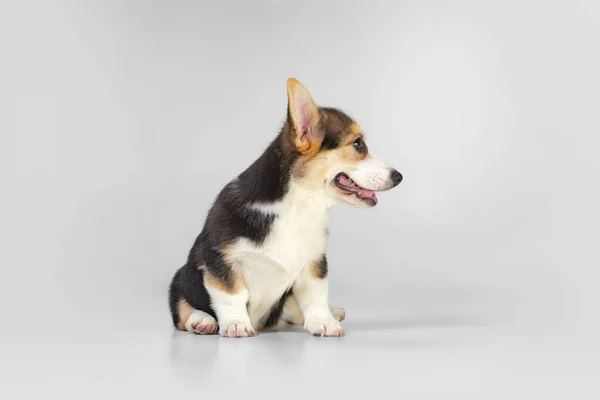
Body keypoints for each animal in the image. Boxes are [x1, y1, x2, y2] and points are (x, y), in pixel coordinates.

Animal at [168, 78, 404, 338]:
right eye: (358, 144)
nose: (399, 177)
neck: (299, 205)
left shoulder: (314, 262)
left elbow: (315, 295)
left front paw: (323, 321)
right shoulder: (221, 257)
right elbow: (233, 294)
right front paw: (236, 324)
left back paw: (333, 311)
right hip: (181, 278)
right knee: (183, 310)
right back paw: (202, 320)